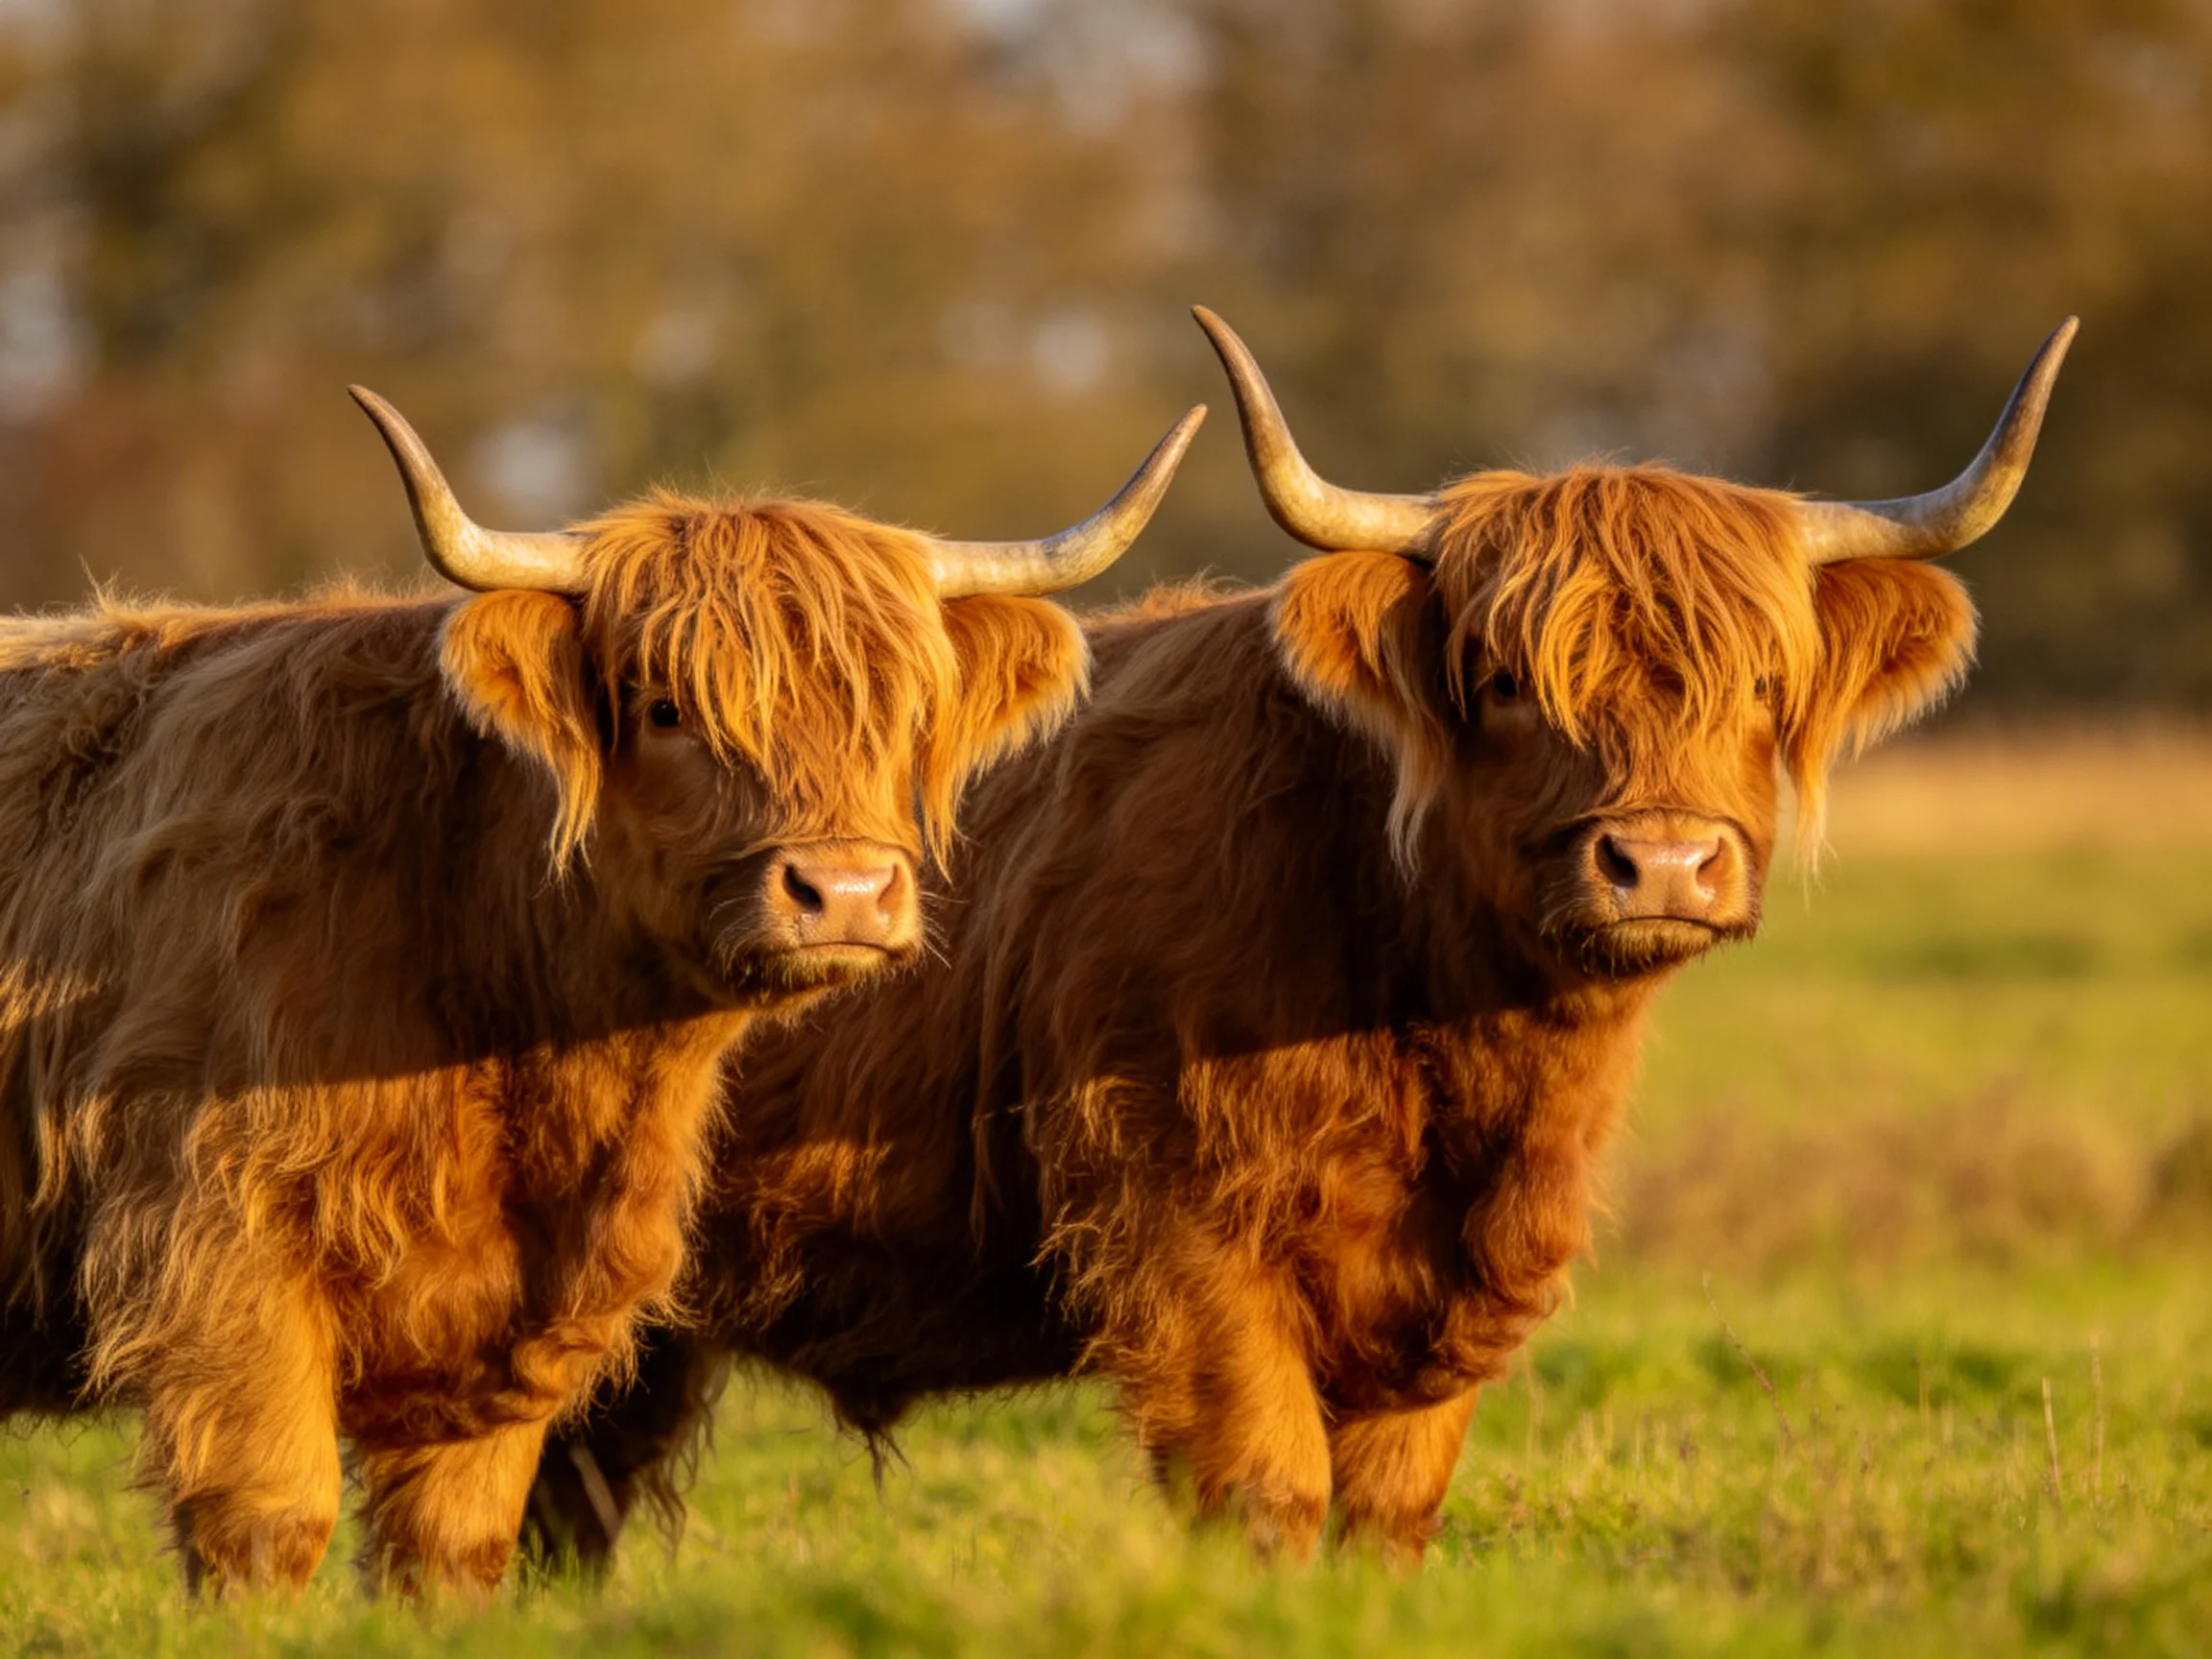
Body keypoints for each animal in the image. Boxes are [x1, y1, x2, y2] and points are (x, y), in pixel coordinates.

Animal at [0, 385, 1203, 1596]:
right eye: (666, 709)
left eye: (902, 714)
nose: (848, 893)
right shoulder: (209, 1249)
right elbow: (268, 1524)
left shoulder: (512, 1321)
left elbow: (457, 1546)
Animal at [524, 308, 2074, 1568]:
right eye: (1503, 679)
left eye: (1761, 682)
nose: (1664, 864)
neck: (1444, 1025)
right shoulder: (1179, 1226)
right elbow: (1269, 1488)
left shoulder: (1451, 1290)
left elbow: (1388, 1509)